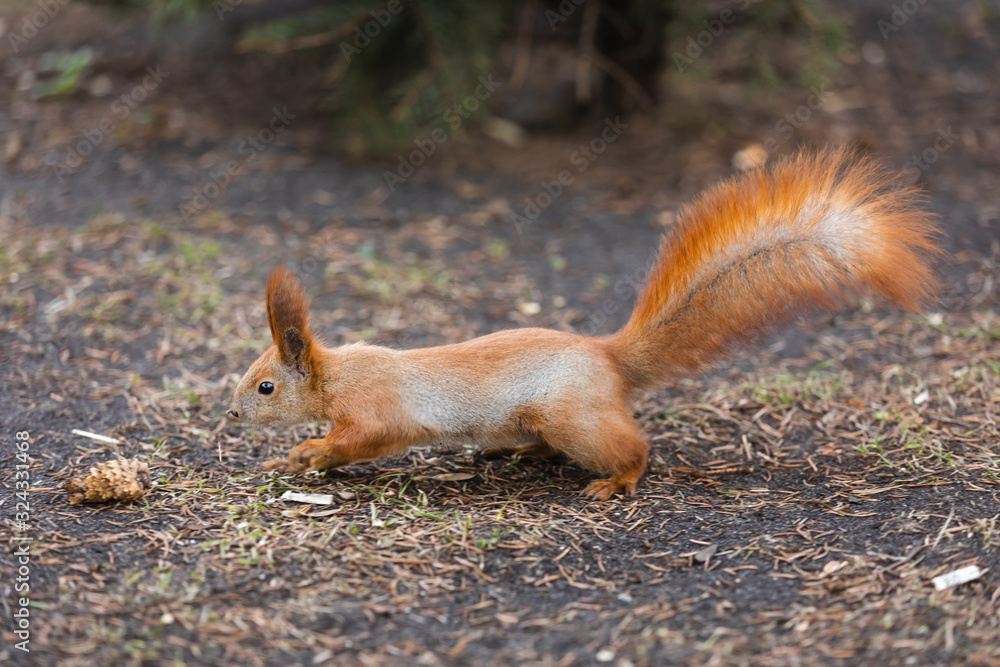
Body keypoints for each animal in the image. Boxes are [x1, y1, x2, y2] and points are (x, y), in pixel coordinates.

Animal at [225, 147, 936, 500]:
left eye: (265, 386)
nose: (230, 415)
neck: (336, 373)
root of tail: (608, 356)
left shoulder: (378, 408)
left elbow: (366, 438)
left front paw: (307, 452)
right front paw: (300, 460)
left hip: (571, 415)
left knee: (634, 449)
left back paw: (616, 481)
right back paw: (512, 451)